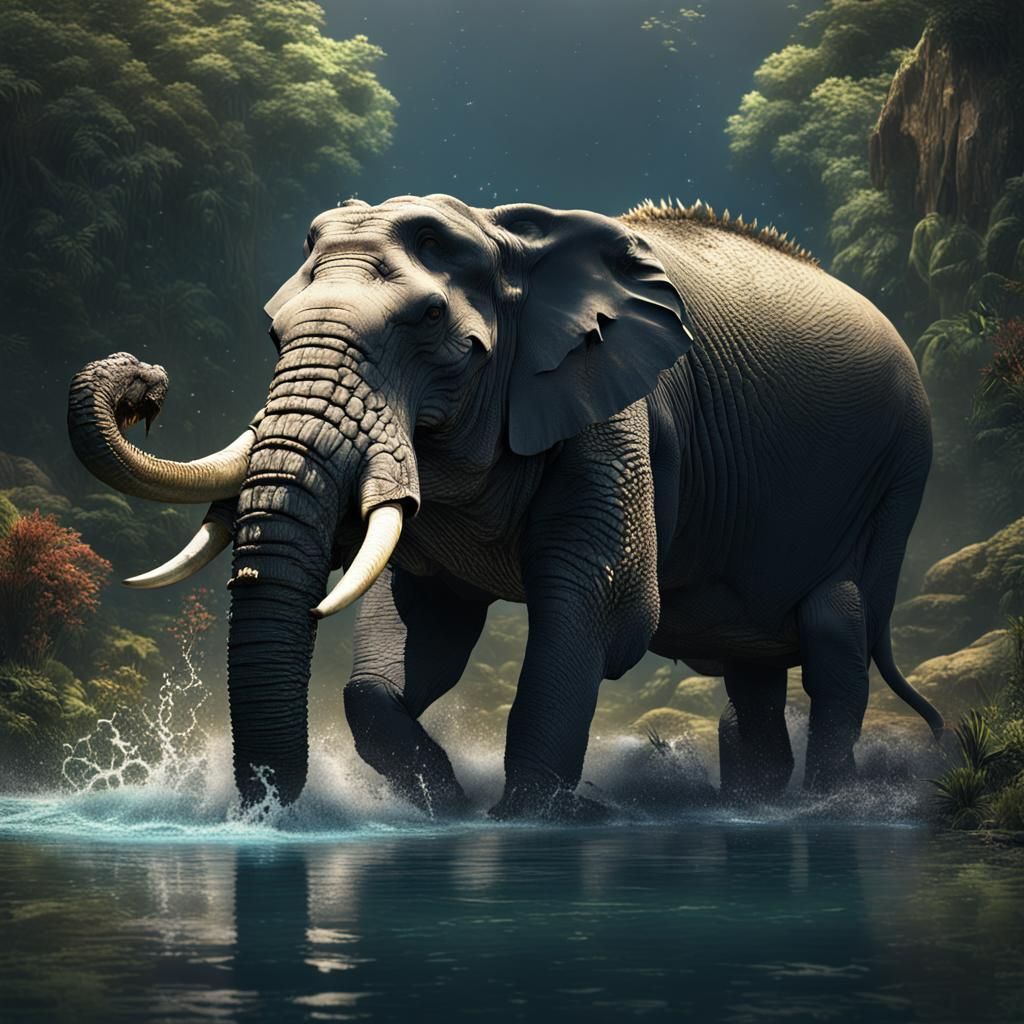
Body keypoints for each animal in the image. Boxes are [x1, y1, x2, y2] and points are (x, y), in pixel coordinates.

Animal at [67, 193, 944, 820]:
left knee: (835, 636)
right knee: (750, 676)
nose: (143, 380)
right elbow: (414, 634)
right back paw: (756, 802)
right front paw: (444, 808)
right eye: (273, 332)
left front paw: (530, 817)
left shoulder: (613, 411)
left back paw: (825, 804)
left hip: (894, 479)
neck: (508, 237)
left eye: (428, 321)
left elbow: (600, 607)